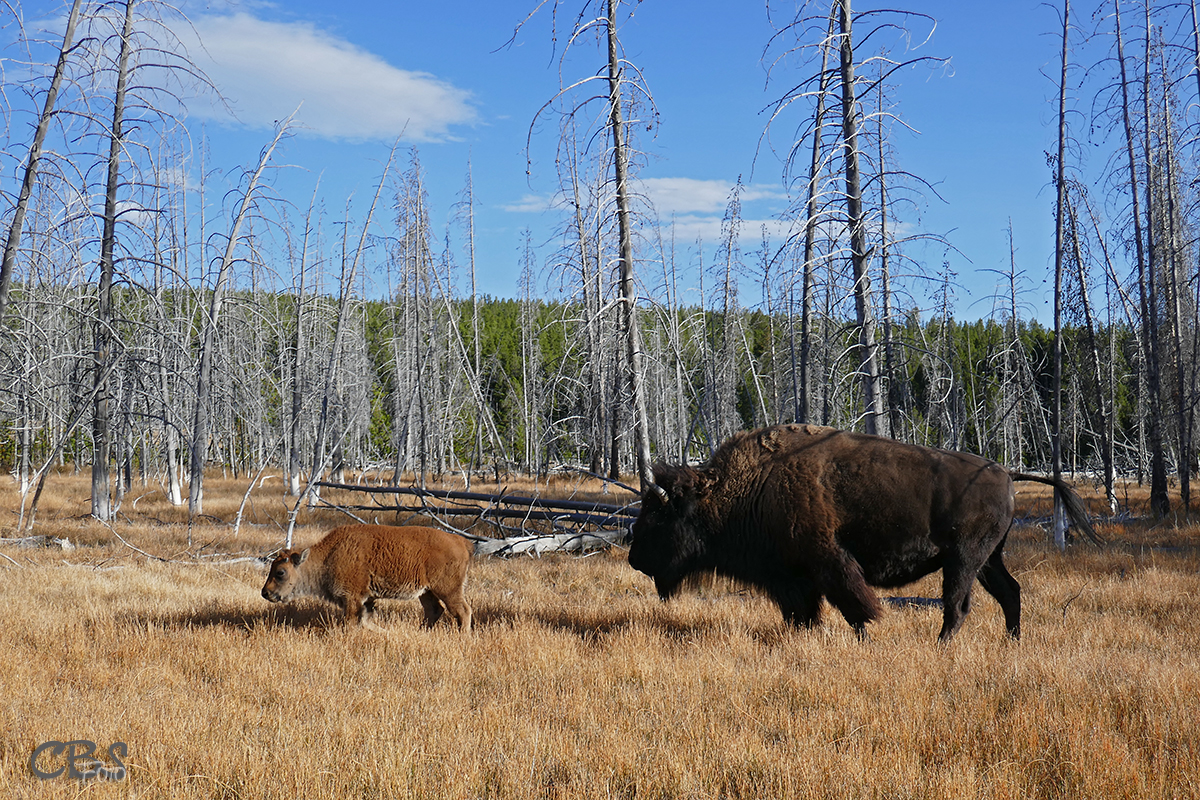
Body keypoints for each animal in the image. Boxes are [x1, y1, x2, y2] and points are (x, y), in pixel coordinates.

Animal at [261, 525, 472, 633]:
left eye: (280, 572)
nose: (265, 593)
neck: (329, 556)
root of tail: (460, 541)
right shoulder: (367, 600)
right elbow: (366, 621)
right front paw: (388, 634)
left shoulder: (352, 598)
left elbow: (352, 622)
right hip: (426, 592)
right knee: (434, 610)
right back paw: (419, 633)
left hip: (447, 589)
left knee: (462, 611)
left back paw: (462, 637)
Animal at [628, 424, 1099, 642]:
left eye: (660, 515)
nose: (633, 558)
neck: (750, 487)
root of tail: (1006, 472)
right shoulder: (793, 578)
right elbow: (805, 613)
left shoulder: (829, 563)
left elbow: (856, 607)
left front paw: (866, 637)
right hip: (987, 559)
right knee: (1009, 592)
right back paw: (1011, 643)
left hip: (963, 559)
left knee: (958, 605)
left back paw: (941, 647)